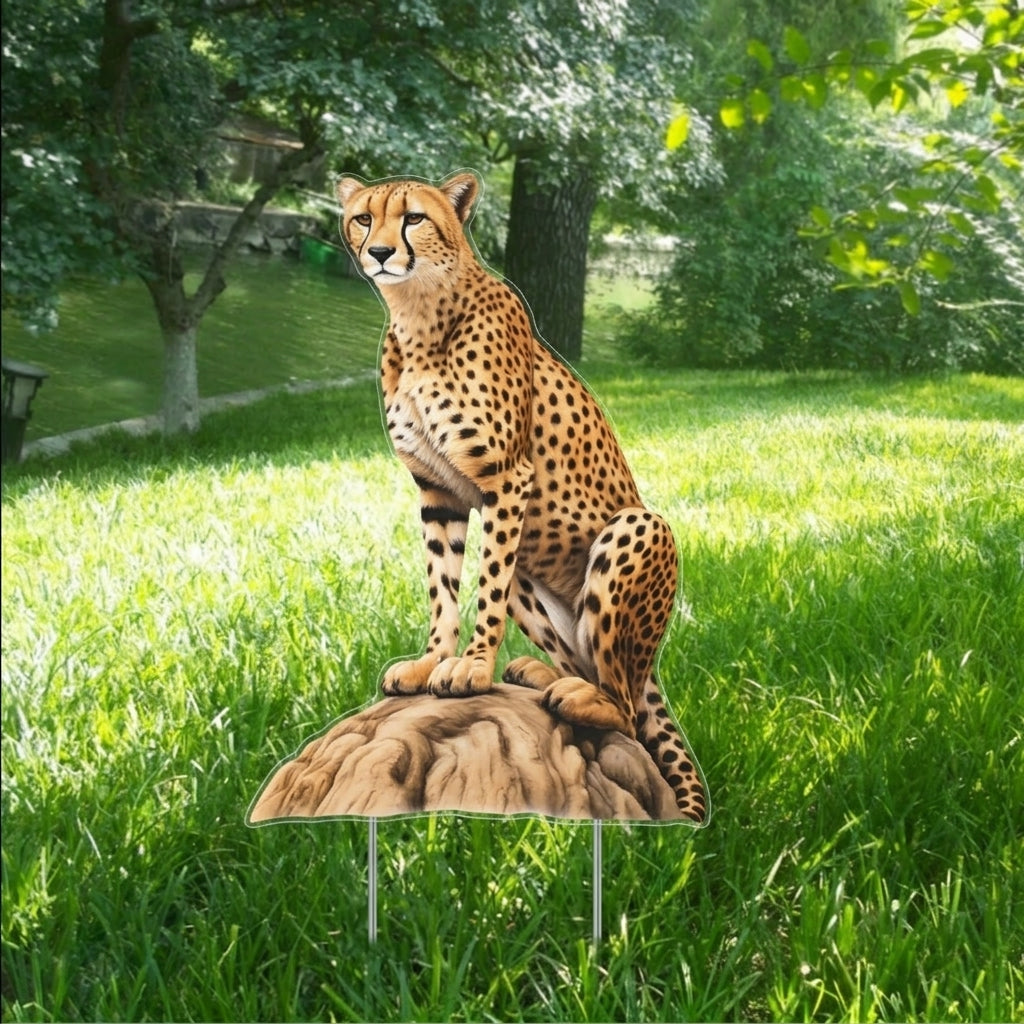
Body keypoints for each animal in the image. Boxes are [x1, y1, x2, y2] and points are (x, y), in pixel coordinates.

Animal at [336, 171, 707, 823]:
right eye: (362, 218)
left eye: (413, 218)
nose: (379, 252)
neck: (419, 315)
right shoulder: (438, 491)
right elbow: (443, 588)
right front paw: (433, 660)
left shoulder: (507, 478)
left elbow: (483, 587)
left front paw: (471, 667)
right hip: (533, 585)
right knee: (584, 666)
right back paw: (541, 676)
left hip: (637, 527)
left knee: (626, 710)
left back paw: (579, 697)